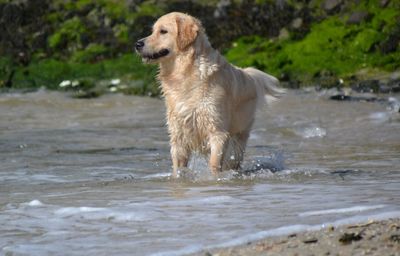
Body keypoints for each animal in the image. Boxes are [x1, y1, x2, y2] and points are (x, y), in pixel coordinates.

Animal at [135, 12, 284, 178]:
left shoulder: (217, 131)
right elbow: (178, 166)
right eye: (152, 31)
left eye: (163, 31)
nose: (137, 44)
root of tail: (247, 74)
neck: (184, 73)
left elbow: (214, 163)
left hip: (239, 136)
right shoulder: (178, 134)